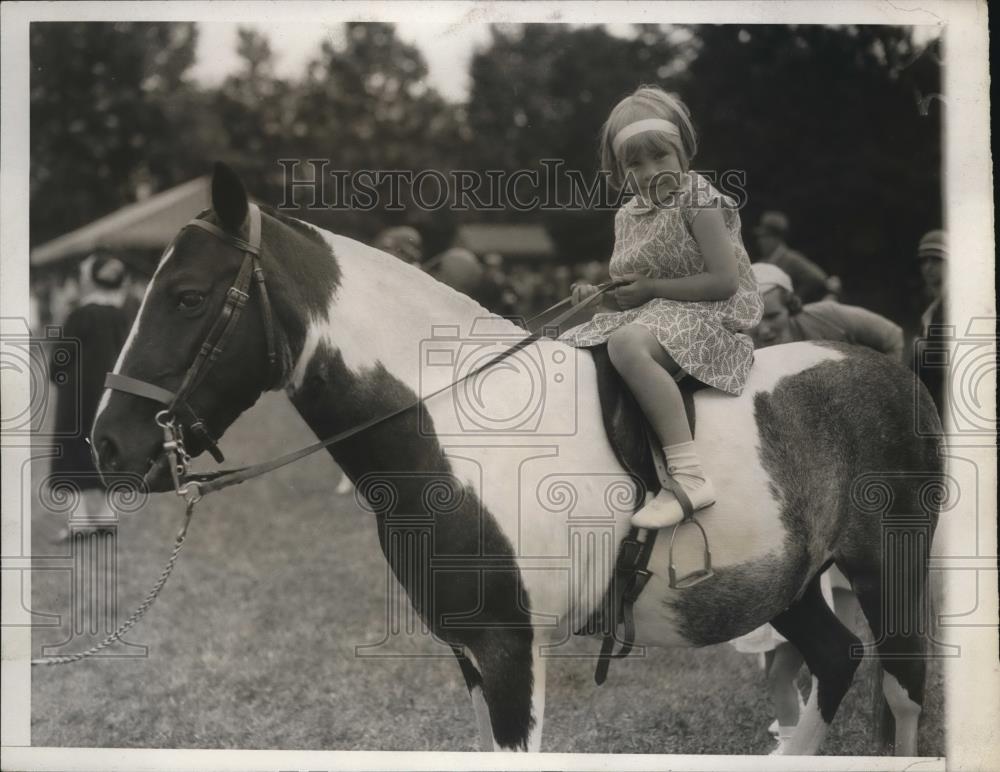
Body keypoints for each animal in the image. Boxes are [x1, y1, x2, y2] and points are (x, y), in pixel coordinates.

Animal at [90, 164, 940, 752]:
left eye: (189, 298)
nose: (108, 443)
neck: (461, 429)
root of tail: (889, 368)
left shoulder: (508, 652)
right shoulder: (470, 651)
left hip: (887, 573)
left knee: (901, 693)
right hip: (787, 583)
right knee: (836, 659)